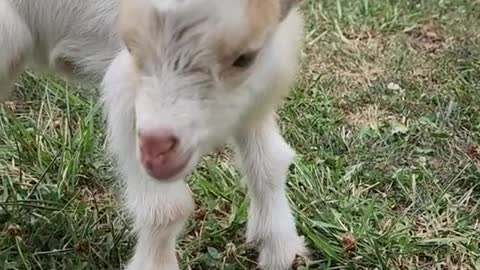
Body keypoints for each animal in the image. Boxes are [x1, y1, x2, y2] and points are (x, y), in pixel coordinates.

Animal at [0, 0, 308, 268]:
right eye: (132, 47)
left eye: (244, 58)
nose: (158, 153)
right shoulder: (127, 92)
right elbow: (167, 208)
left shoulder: (257, 96)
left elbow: (270, 162)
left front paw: (280, 249)